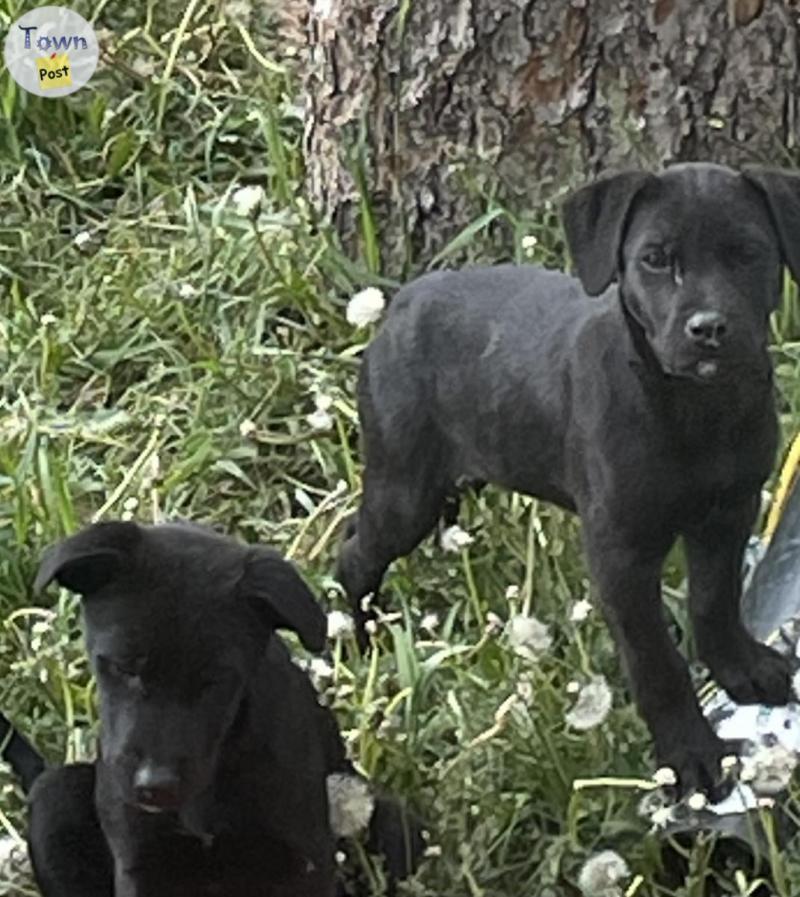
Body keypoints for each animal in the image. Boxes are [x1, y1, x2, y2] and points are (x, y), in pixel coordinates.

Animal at [17, 520, 418, 896]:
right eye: (124, 668)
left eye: (215, 681)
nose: (155, 787)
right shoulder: (140, 864)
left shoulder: (305, 862)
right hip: (53, 797)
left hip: (387, 819)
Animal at [338, 163, 800, 800]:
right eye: (655, 258)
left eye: (749, 253)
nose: (708, 329)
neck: (692, 408)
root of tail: (401, 303)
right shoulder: (620, 554)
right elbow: (656, 660)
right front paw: (690, 753)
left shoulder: (729, 511)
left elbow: (716, 599)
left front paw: (741, 669)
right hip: (405, 489)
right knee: (354, 553)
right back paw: (361, 642)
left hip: (453, 475)